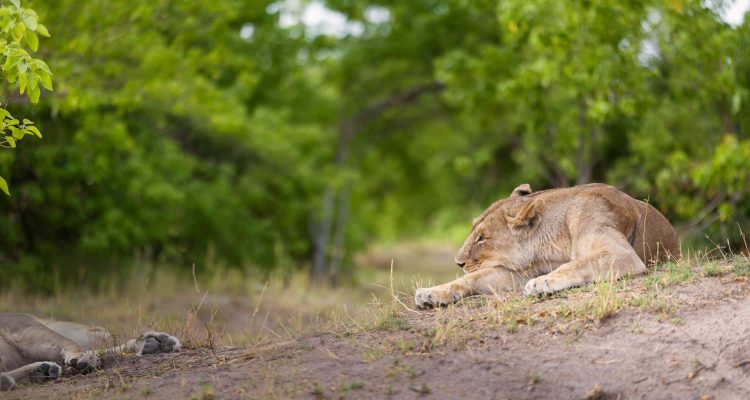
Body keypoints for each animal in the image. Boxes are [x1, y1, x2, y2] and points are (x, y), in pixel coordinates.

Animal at [415, 183, 680, 308]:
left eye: (482, 238)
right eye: (474, 232)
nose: (458, 262)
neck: (548, 249)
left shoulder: (621, 253)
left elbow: (577, 264)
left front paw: (542, 283)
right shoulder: (518, 272)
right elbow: (472, 278)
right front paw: (430, 293)